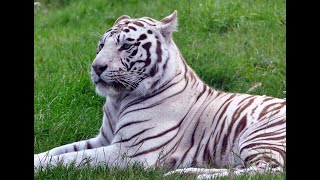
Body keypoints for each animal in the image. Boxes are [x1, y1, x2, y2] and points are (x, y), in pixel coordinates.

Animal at [34, 11, 284, 179]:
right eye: (101, 45)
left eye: (126, 46)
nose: (96, 67)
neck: (118, 100)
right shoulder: (103, 139)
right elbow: (57, 151)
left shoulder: (128, 152)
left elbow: (70, 159)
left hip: (260, 135)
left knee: (266, 171)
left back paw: (190, 174)